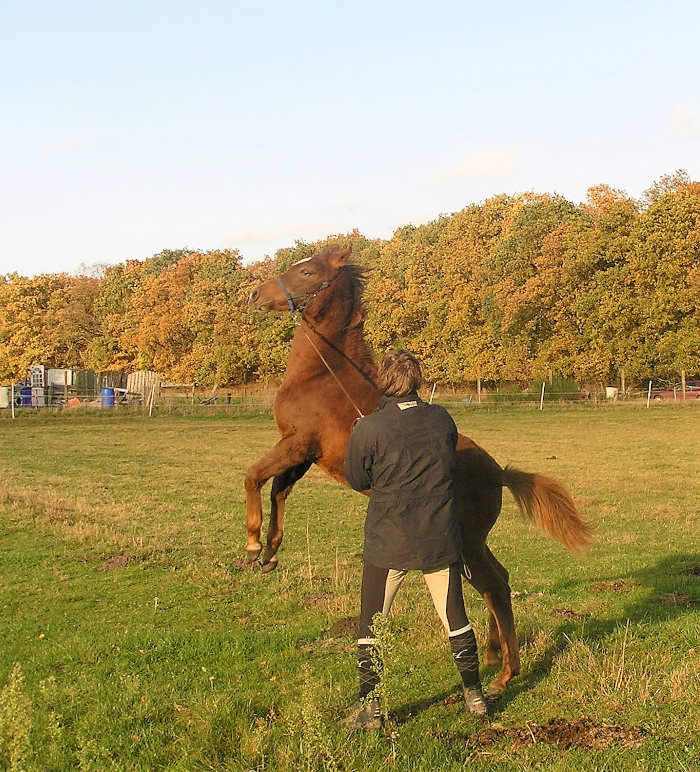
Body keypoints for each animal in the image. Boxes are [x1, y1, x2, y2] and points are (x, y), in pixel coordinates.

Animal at [246, 244, 592, 696]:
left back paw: (503, 674)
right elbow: (277, 491)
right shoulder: (300, 455)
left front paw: (252, 544)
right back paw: (496, 659)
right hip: (472, 543)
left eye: (306, 272)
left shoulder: (297, 444)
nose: (255, 295)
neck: (321, 374)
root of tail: (499, 473)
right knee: (496, 581)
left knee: (495, 585)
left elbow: (254, 476)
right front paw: (269, 553)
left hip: (468, 543)